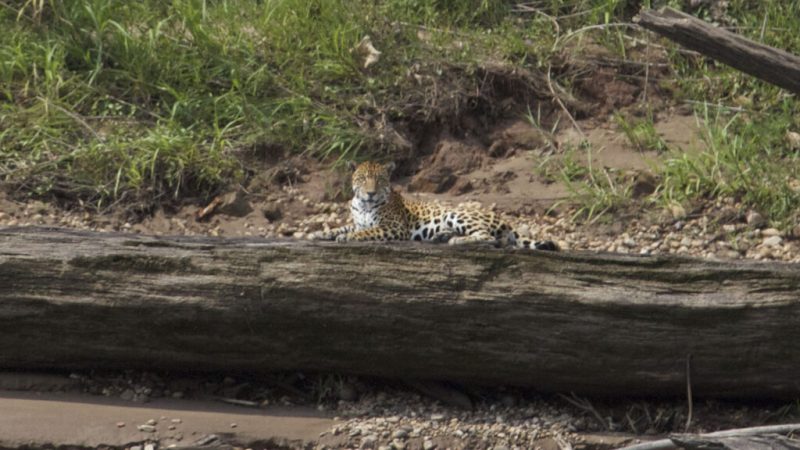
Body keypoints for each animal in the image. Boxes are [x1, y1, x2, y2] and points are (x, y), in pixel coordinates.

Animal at [310, 161, 558, 251]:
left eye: (379, 180)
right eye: (362, 179)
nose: (370, 193)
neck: (362, 205)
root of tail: (504, 220)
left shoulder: (393, 228)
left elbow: (366, 232)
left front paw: (347, 238)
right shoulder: (358, 221)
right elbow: (342, 227)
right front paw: (319, 233)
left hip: (456, 214)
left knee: (488, 237)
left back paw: (457, 240)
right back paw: (441, 236)